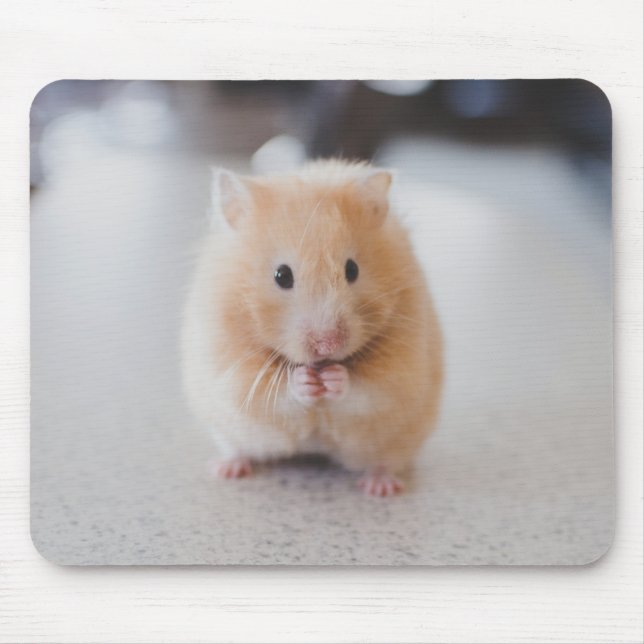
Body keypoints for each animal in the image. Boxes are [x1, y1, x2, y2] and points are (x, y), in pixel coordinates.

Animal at [181, 159, 442, 496]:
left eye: (352, 270)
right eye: (282, 275)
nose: (327, 345)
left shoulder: (400, 371)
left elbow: (367, 389)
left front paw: (333, 378)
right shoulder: (230, 369)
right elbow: (274, 392)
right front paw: (305, 381)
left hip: (401, 439)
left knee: (385, 461)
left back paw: (380, 487)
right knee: (237, 448)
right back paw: (226, 469)